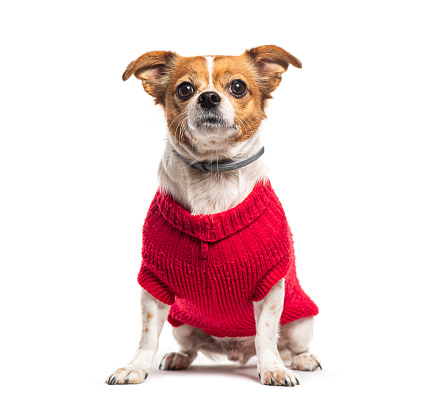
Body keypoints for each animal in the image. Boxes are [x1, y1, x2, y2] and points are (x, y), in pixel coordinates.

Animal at [107, 44, 322, 386]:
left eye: (238, 86)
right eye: (185, 89)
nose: (208, 97)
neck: (215, 171)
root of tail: (237, 354)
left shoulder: (271, 284)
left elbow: (265, 334)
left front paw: (273, 369)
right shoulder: (154, 284)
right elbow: (148, 335)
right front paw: (135, 367)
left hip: (301, 323)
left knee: (289, 345)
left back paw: (300, 359)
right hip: (182, 325)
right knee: (191, 347)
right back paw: (179, 357)